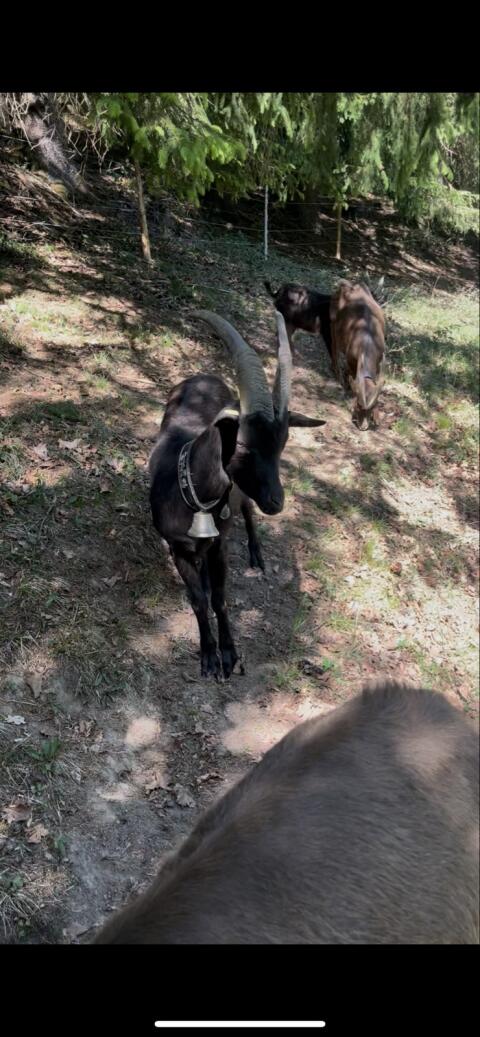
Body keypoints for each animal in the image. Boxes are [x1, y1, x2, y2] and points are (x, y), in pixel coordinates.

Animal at [148, 310, 325, 680]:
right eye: (243, 446)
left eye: (283, 445)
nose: (277, 501)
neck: (194, 499)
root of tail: (204, 376)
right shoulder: (177, 547)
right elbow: (199, 600)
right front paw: (208, 656)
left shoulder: (220, 544)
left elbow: (219, 598)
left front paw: (228, 654)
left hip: (242, 498)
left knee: (246, 510)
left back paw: (256, 554)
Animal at [330, 279, 386, 430]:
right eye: (359, 406)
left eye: (371, 408)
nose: (364, 427)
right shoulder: (351, 358)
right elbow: (352, 375)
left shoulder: (380, 360)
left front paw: (377, 418)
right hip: (333, 320)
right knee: (334, 347)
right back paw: (338, 376)